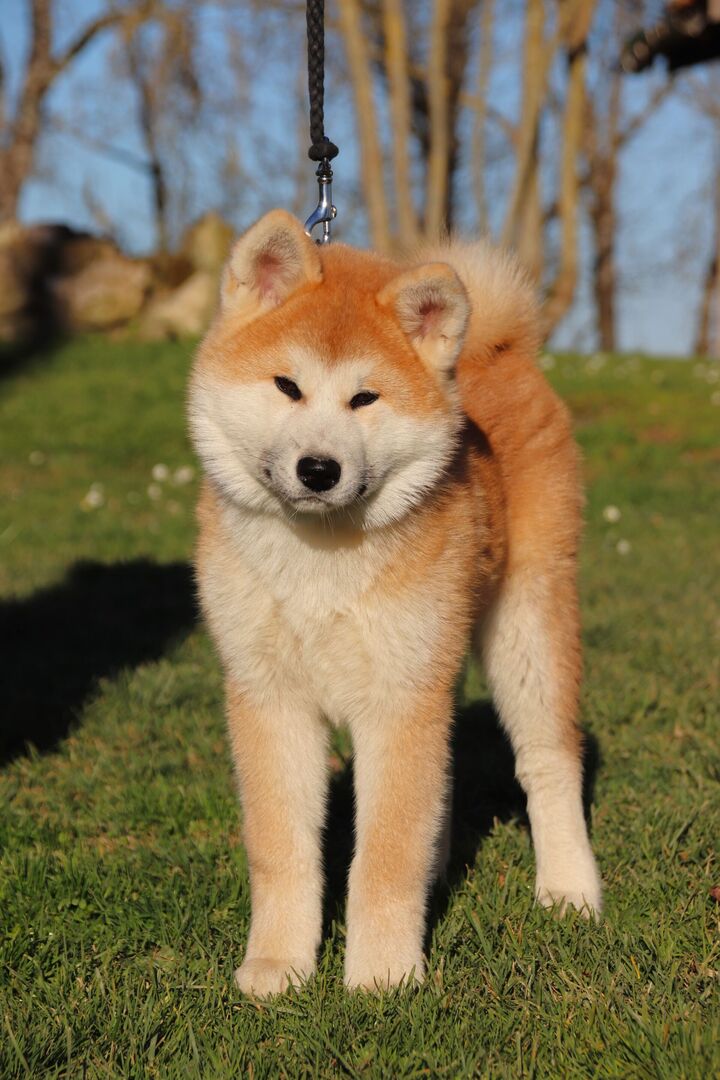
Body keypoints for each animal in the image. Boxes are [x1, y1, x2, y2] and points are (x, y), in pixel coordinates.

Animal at [188, 209, 602, 997]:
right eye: (287, 386)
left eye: (365, 398)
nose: (319, 469)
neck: (321, 560)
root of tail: (501, 351)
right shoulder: (270, 697)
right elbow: (282, 848)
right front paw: (278, 964)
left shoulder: (398, 699)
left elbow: (384, 855)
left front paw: (382, 976)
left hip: (525, 627)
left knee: (547, 763)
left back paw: (570, 886)